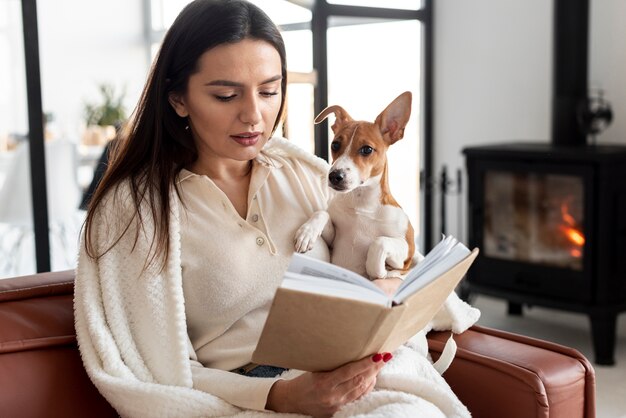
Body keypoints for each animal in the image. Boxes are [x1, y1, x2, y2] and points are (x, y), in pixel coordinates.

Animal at [294, 92, 414, 280]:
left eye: (367, 149)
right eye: (335, 144)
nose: (334, 176)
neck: (362, 204)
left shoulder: (407, 251)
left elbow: (379, 242)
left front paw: (380, 271)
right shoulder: (334, 238)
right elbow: (322, 213)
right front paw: (307, 232)